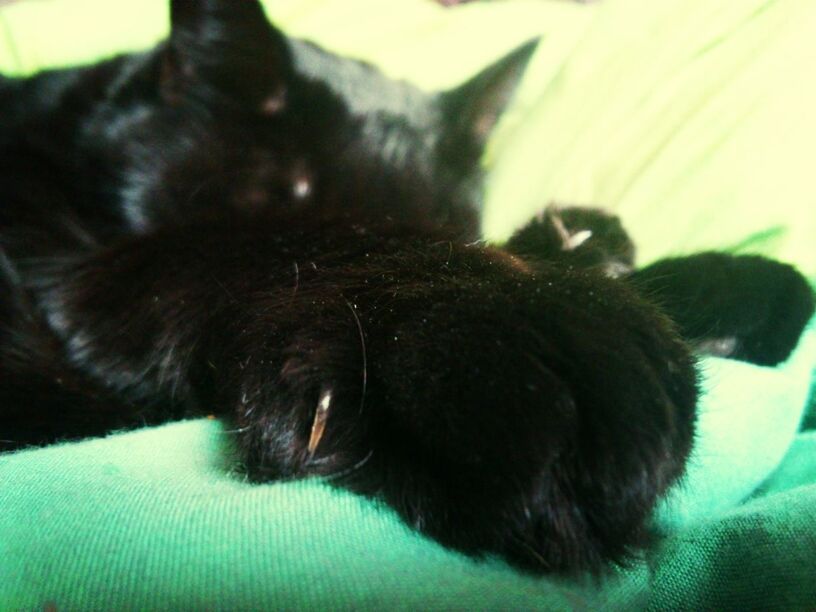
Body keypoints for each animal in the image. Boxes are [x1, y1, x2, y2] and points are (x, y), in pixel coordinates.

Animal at [0, 0, 812, 572]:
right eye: (290, 198)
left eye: (450, 215)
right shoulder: (93, 281)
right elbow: (286, 247)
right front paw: (509, 321)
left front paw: (681, 279)